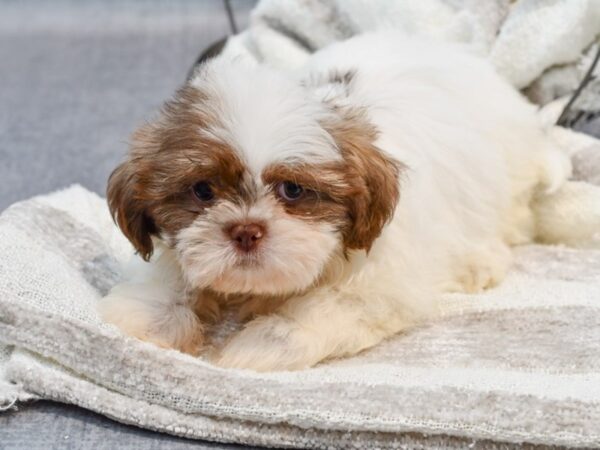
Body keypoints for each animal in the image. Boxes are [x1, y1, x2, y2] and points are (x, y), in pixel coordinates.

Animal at [98, 30, 572, 370]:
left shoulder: (380, 281)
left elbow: (326, 308)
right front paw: (152, 316)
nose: (246, 231)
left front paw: (264, 342)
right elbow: (172, 275)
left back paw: (479, 262)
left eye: (292, 190)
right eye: (202, 190)